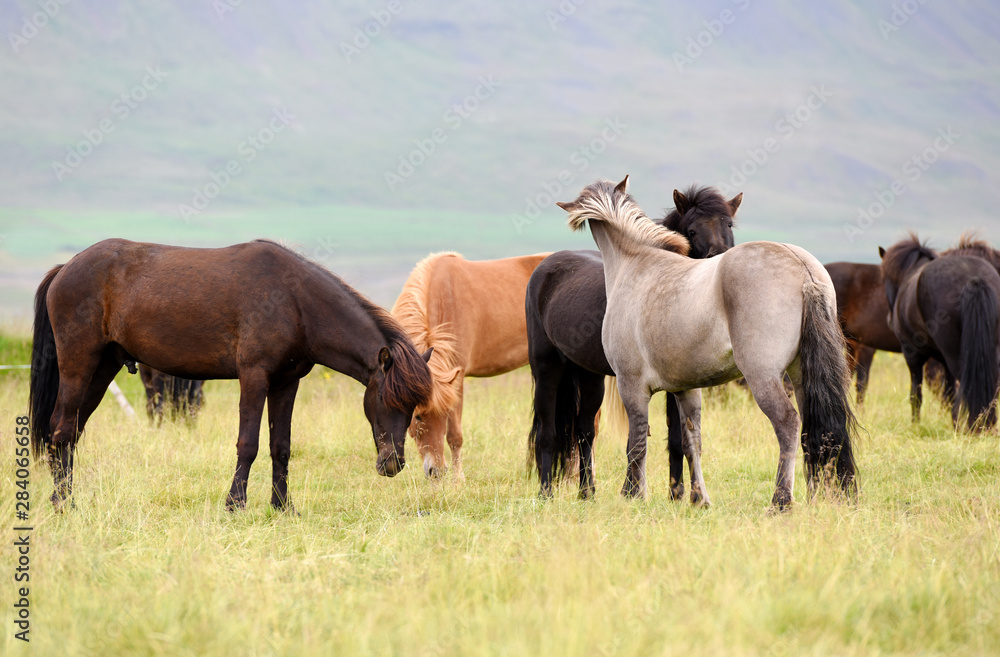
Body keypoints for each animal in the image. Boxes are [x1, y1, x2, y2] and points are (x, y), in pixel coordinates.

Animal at [528, 184, 740, 498]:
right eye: (691, 230)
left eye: (729, 224)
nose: (720, 262)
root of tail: (544, 268)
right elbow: (639, 439)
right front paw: (632, 491)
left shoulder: (675, 381)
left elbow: (676, 438)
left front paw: (676, 494)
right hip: (547, 370)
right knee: (548, 433)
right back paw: (546, 493)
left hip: (590, 376)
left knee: (584, 431)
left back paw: (587, 493)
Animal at [560, 176, 856, 508]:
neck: (636, 264)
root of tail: (801, 267)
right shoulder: (685, 389)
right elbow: (692, 442)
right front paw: (699, 499)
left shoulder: (631, 385)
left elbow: (636, 444)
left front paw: (633, 494)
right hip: (802, 375)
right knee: (814, 429)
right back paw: (815, 498)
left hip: (763, 377)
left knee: (788, 424)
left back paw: (780, 502)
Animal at [884, 234, 1000, 430]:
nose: (889, 320)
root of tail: (975, 278)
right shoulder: (944, 362)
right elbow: (949, 392)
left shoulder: (912, 355)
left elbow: (916, 395)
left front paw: (915, 425)